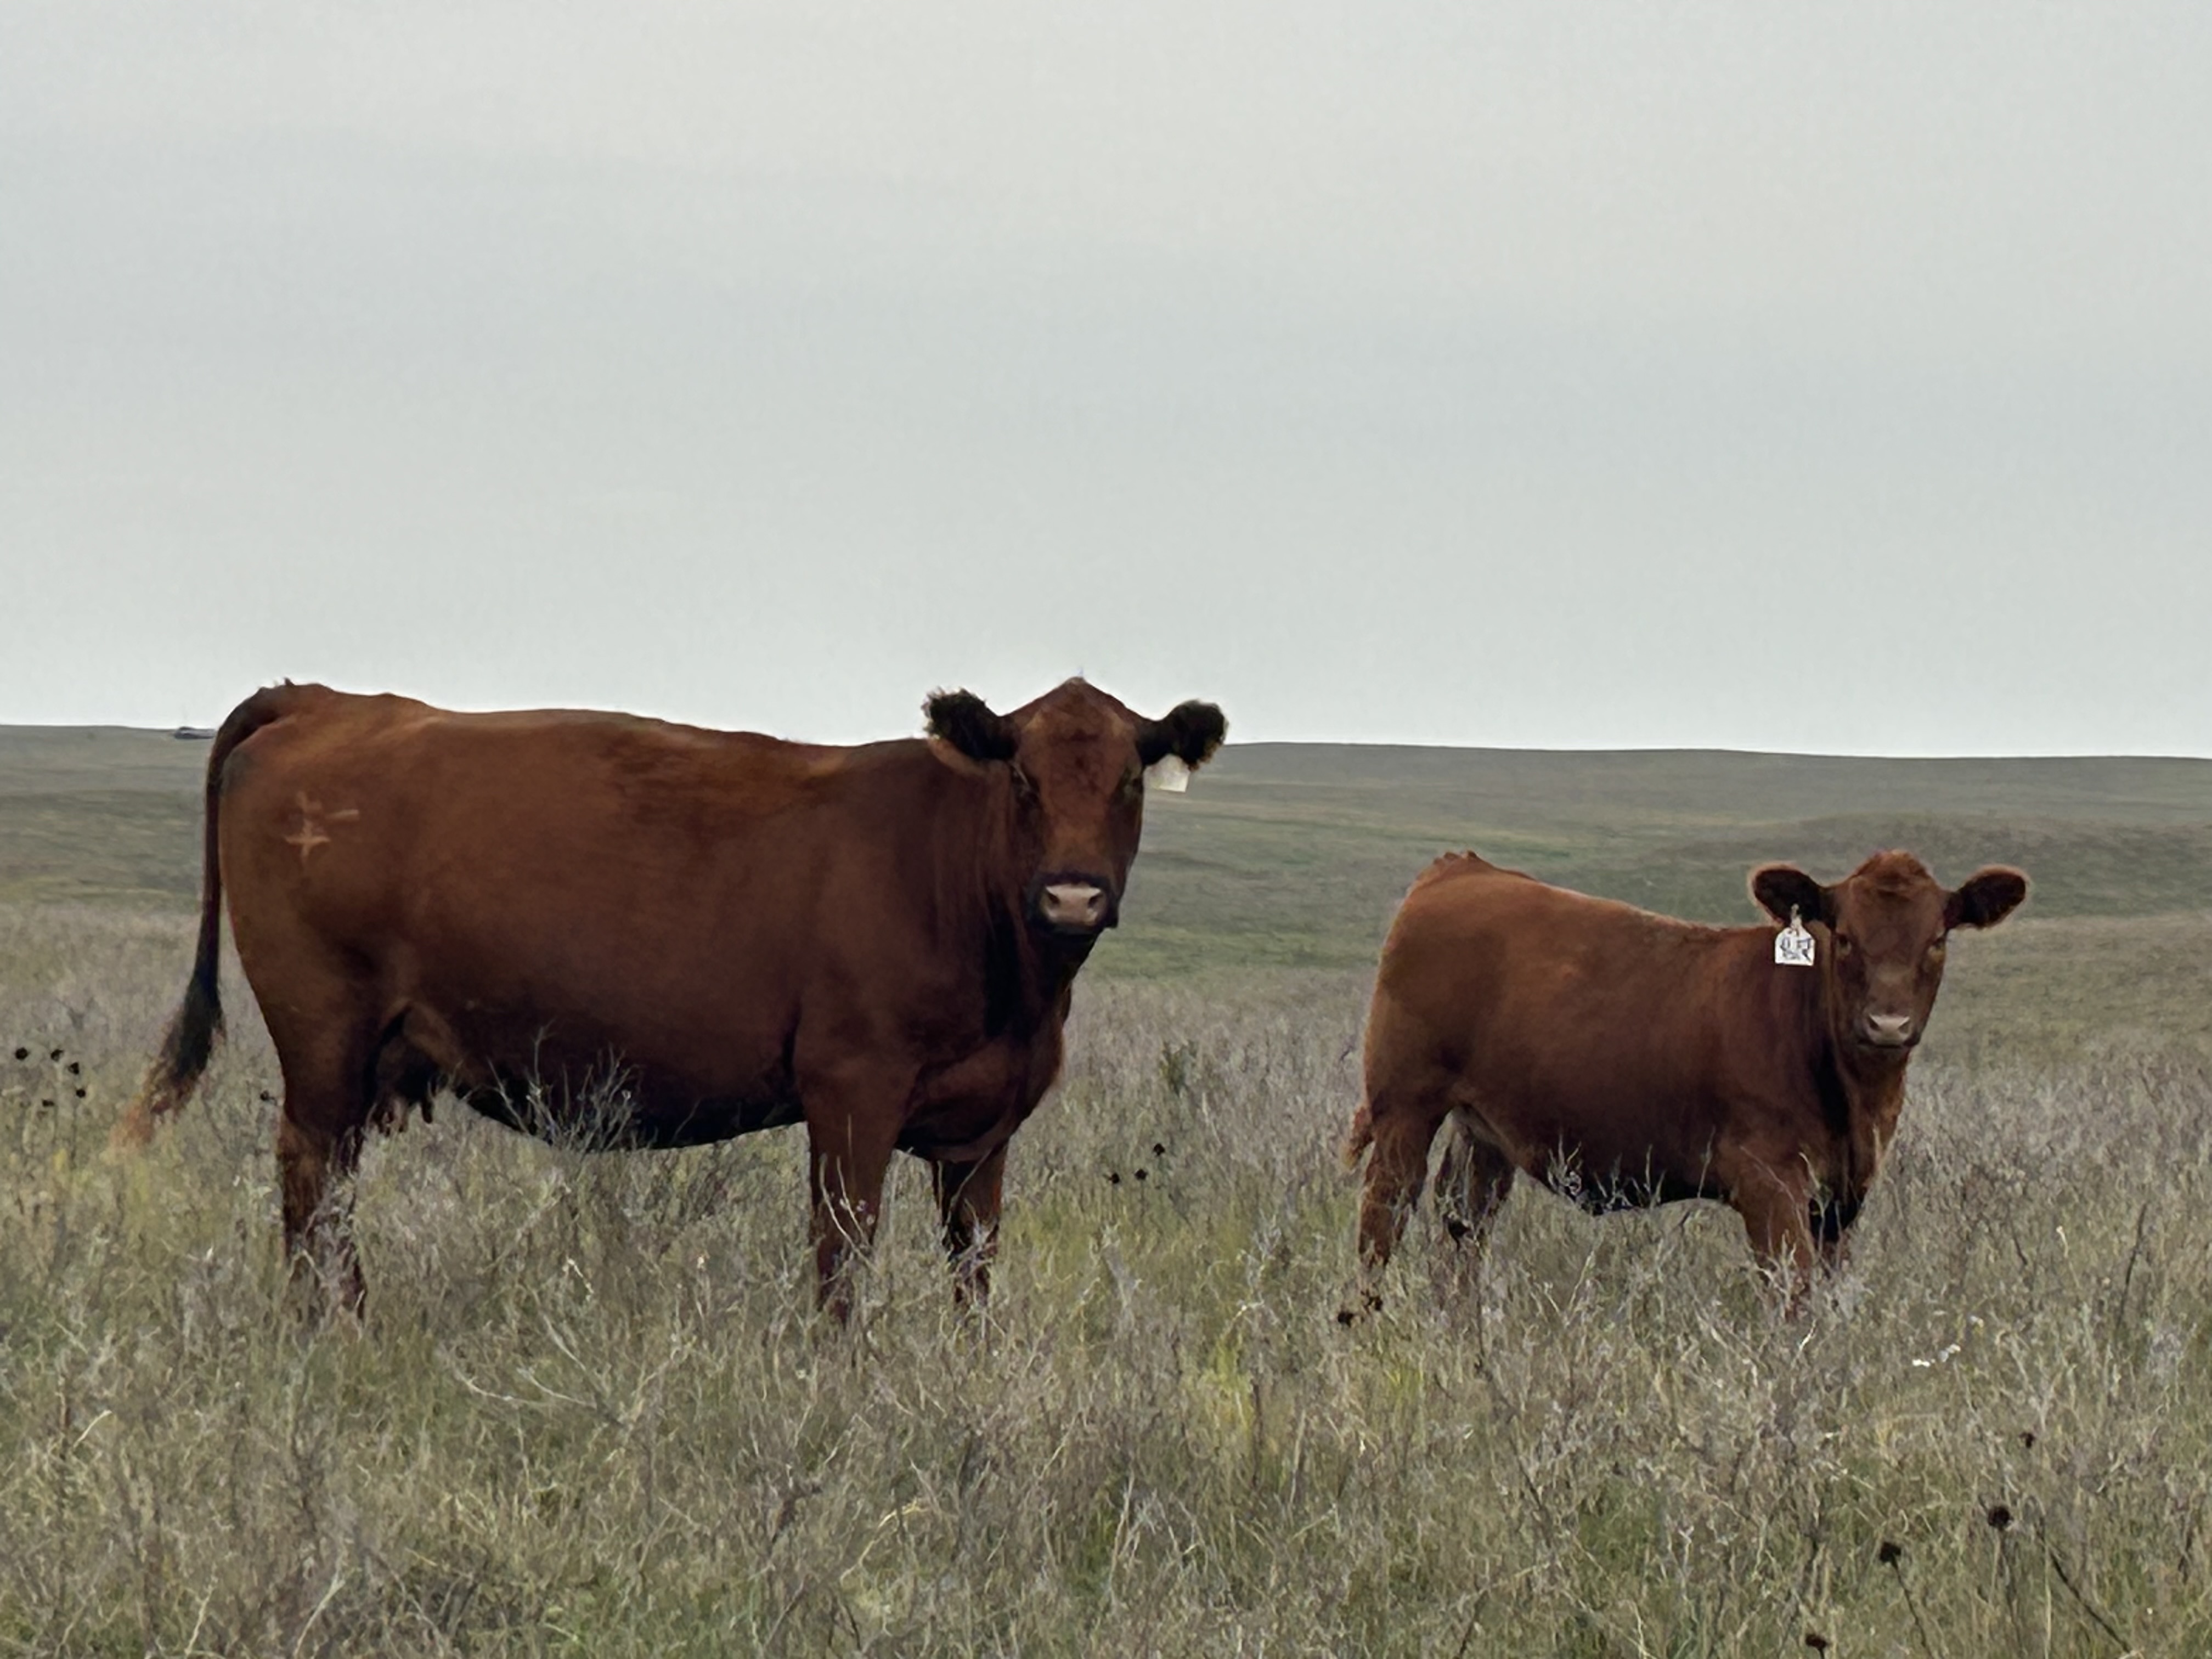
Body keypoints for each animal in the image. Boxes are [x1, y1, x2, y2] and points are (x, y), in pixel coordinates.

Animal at [115, 678, 1227, 1320]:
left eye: (1130, 779)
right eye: (1023, 779)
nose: (1073, 893)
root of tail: (327, 698)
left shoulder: (983, 1128)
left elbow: (974, 1273)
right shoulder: (851, 1091)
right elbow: (843, 1255)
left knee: (330, 1187)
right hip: (323, 1036)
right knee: (312, 1184)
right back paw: (329, 1330)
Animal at [1343, 849, 2027, 1313]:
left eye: (1936, 940)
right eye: (1845, 938)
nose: (1887, 1024)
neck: (1858, 1103)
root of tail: (1462, 870)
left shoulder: (1841, 1199)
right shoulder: (1769, 1181)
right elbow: (1792, 1299)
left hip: (1484, 1132)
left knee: (1462, 1231)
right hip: (1404, 1108)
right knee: (1383, 1222)